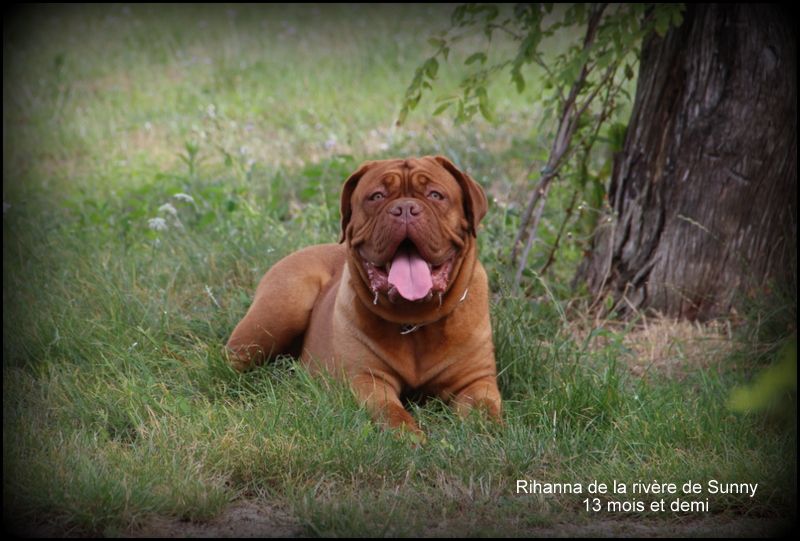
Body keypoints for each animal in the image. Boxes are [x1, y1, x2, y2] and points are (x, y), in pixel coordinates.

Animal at [225, 155, 500, 434]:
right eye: (377, 196)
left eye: (435, 194)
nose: (405, 209)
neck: (415, 321)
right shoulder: (366, 378)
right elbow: (388, 410)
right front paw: (406, 435)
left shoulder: (476, 380)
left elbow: (485, 411)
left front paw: (486, 432)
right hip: (278, 312)